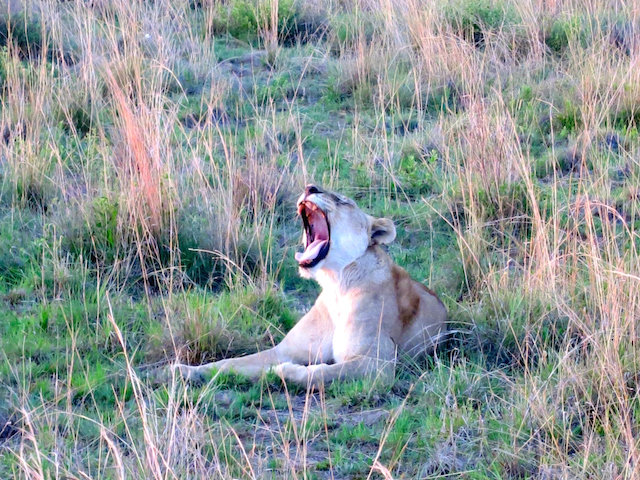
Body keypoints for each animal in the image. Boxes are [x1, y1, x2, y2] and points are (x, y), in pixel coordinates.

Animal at [172, 186, 448, 388]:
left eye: (344, 201)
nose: (310, 187)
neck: (337, 285)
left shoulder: (377, 365)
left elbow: (320, 373)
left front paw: (282, 371)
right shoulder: (282, 350)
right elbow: (232, 363)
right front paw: (186, 370)